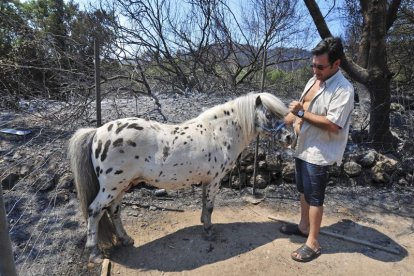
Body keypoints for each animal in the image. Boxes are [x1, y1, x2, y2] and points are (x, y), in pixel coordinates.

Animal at [68, 92, 292, 264]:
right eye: (269, 115)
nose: (290, 137)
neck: (218, 133)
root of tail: (97, 131)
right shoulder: (215, 180)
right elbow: (210, 206)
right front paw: (209, 231)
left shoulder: (207, 181)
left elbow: (205, 205)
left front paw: (204, 224)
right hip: (111, 187)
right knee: (95, 211)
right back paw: (95, 253)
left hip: (121, 186)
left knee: (114, 211)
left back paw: (126, 239)